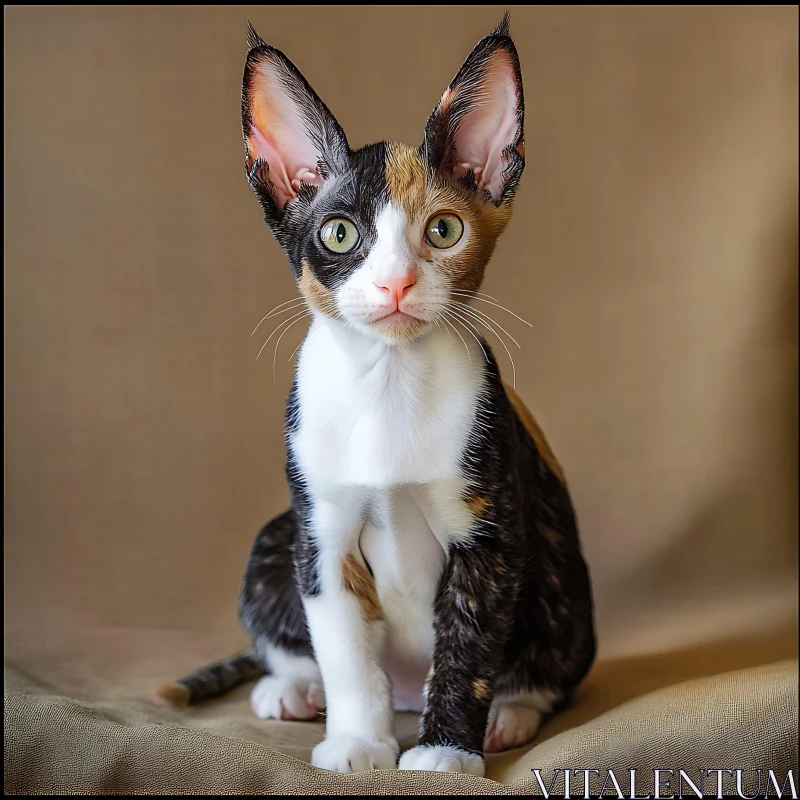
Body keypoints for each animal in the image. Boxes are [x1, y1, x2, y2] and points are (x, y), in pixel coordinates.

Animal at [156, 12, 592, 776]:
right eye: (340, 233)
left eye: (443, 230)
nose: (395, 282)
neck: (387, 384)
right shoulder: (322, 531)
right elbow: (347, 654)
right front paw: (358, 742)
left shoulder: (490, 535)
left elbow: (468, 649)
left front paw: (446, 752)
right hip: (280, 532)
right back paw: (293, 690)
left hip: (559, 564)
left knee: (550, 650)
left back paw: (509, 714)